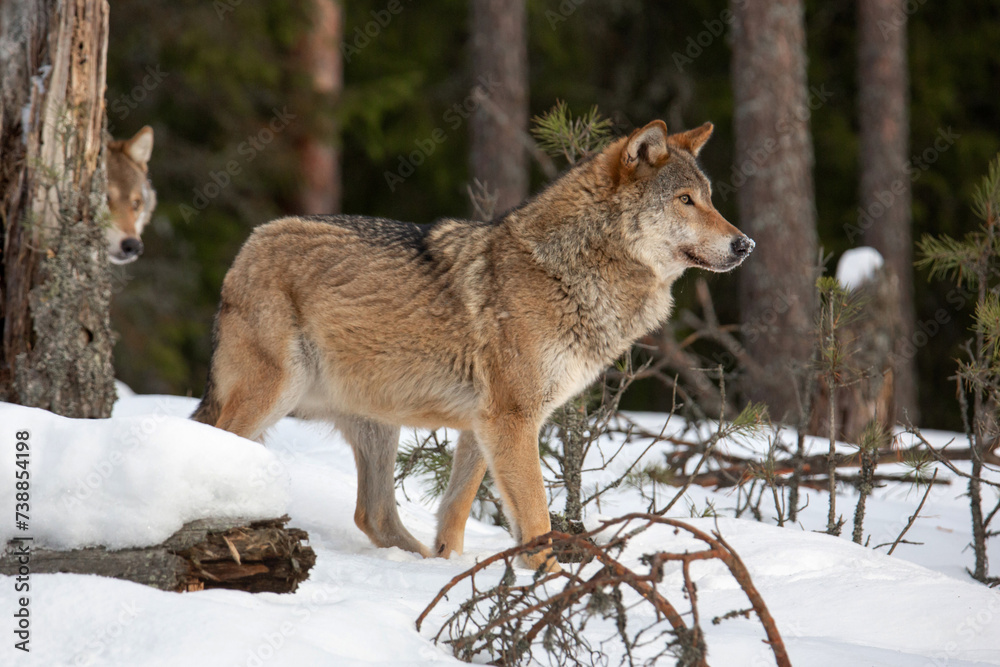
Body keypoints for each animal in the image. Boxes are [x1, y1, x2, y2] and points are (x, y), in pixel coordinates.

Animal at [191, 118, 752, 568]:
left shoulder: (484, 424)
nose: (745, 244)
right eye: (685, 200)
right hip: (276, 393)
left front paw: (455, 570)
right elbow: (537, 519)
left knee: (374, 515)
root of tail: (247, 246)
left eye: (710, 199)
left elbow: (457, 511)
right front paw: (547, 585)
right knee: (217, 443)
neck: (567, 272)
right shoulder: (512, 420)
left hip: (377, 423)